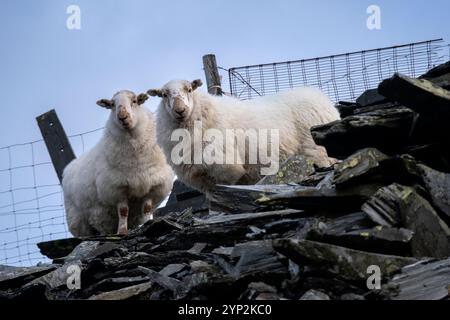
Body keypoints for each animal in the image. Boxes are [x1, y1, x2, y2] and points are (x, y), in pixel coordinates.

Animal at [62, 89, 175, 236]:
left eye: (134, 101)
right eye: (112, 105)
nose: (123, 116)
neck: (136, 158)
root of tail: (68, 167)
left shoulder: (153, 186)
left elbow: (146, 209)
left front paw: (147, 224)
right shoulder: (117, 188)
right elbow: (123, 211)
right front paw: (122, 231)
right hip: (79, 220)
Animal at [149, 79, 342, 198]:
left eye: (189, 89)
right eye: (164, 95)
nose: (180, 110)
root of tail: (320, 96)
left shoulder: (226, 167)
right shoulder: (202, 177)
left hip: (318, 152)